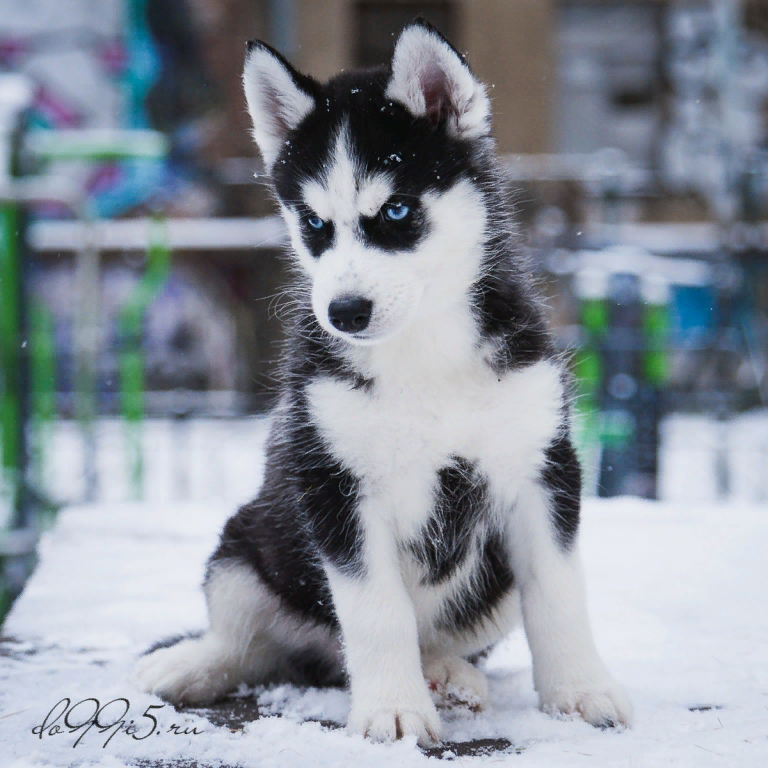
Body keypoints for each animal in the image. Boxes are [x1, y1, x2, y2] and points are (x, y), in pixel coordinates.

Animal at [135, 21, 632, 748]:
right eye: (314, 224)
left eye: (396, 211)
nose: (344, 312)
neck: (422, 353)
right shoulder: (335, 484)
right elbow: (377, 611)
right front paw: (393, 710)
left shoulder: (543, 469)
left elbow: (560, 593)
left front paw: (580, 692)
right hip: (245, 542)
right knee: (248, 640)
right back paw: (188, 664)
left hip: (492, 587)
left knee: (443, 639)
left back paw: (449, 676)